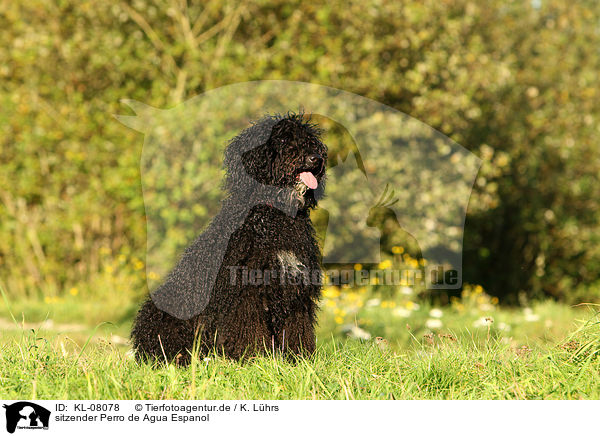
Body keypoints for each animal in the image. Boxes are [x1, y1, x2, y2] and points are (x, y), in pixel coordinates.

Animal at [132, 113, 328, 364]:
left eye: (309, 140)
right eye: (283, 140)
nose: (316, 158)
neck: (275, 217)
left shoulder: (294, 290)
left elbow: (296, 328)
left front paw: (299, 358)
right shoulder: (246, 292)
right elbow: (249, 329)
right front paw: (255, 358)